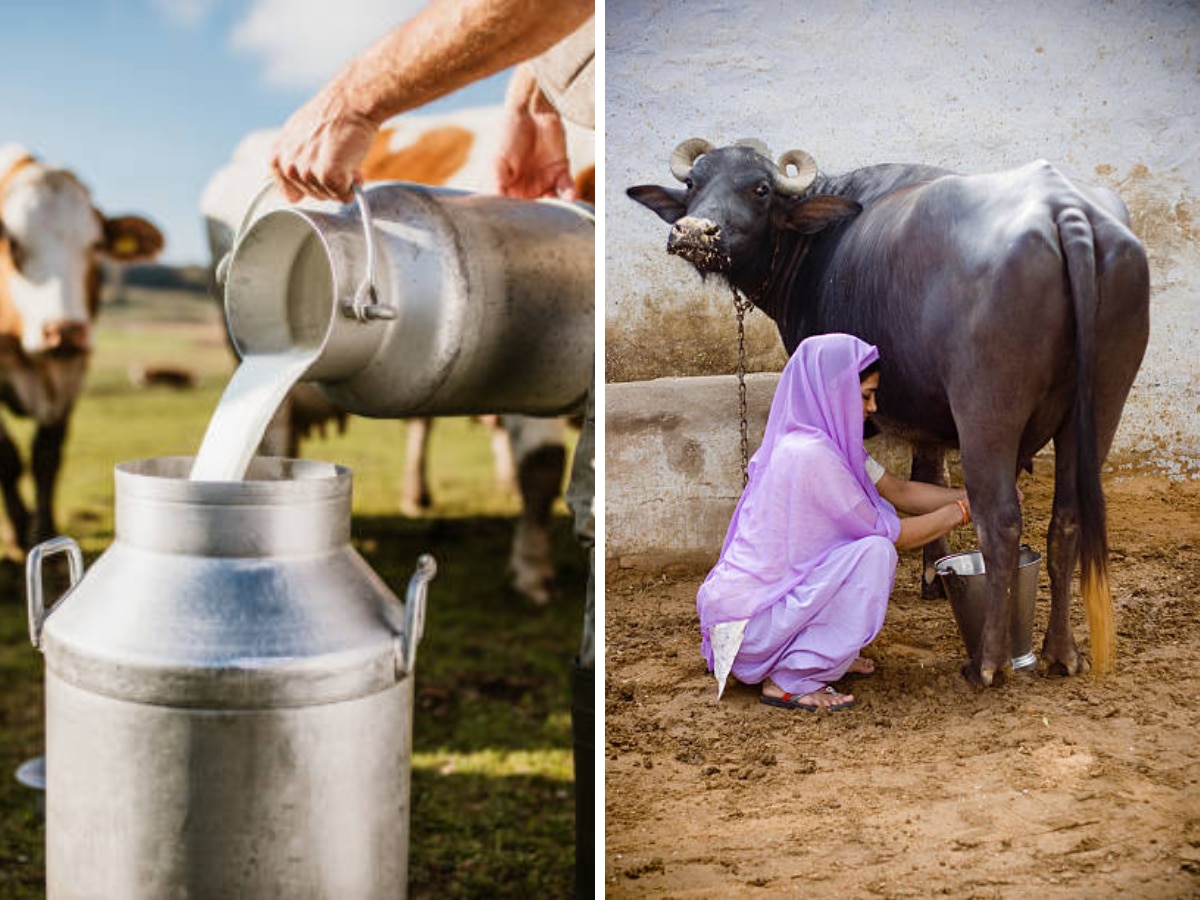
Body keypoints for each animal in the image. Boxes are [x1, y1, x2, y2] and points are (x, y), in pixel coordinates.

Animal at [0, 146, 164, 556]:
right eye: (13, 245)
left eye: (93, 247)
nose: (65, 331)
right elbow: (8, 457)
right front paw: (19, 535)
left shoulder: (72, 371)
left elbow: (47, 455)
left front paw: (42, 531)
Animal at [624, 141, 1147, 686]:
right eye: (693, 183)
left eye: (760, 188)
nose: (693, 231)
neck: (814, 248)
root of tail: (1065, 210)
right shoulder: (929, 412)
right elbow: (931, 474)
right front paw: (935, 574)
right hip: (1103, 400)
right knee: (1067, 518)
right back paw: (1061, 653)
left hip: (987, 408)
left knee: (1001, 521)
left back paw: (988, 664)